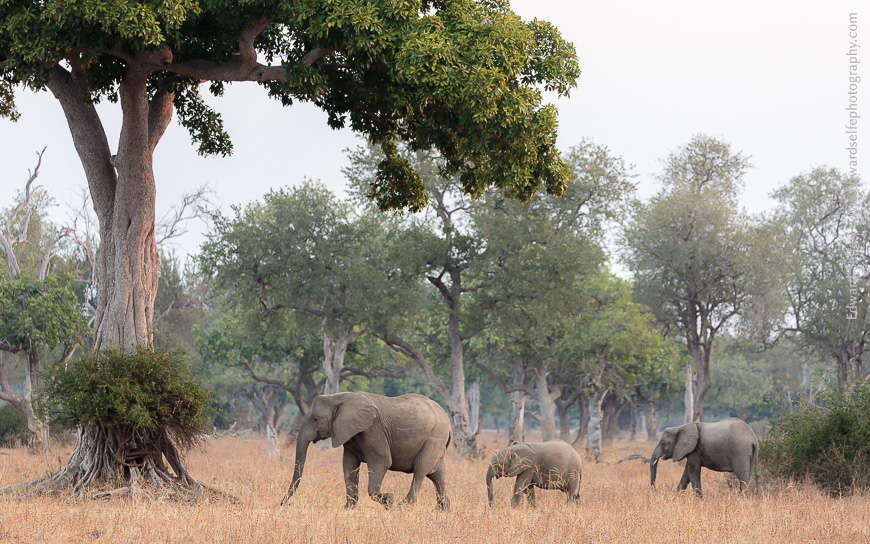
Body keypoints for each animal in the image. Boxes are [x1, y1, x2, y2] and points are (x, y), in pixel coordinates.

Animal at [280, 392, 452, 510]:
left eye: (315, 419)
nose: (283, 504)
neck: (339, 397)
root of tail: (448, 421)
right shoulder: (350, 435)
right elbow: (349, 466)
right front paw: (348, 509)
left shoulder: (372, 430)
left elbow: (382, 461)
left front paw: (389, 500)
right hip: (437, 441)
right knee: (438, 475)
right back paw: (444, 510)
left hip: (434, 438)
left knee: (420, 469)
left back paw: (403, 505)